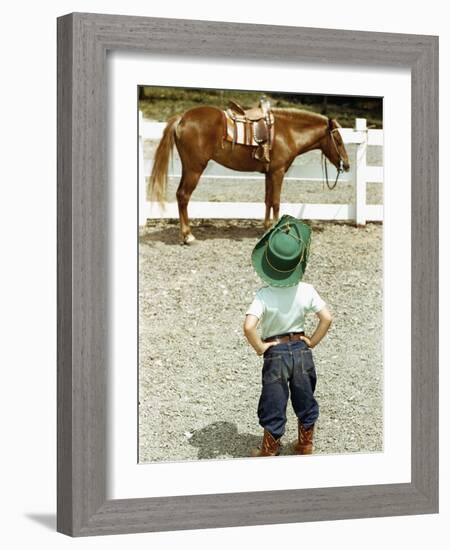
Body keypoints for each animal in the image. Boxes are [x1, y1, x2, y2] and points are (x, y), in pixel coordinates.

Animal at [149, 106, 350, 245]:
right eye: (338, 140)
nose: (347, 165)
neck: (287, 132)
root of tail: (182, 118)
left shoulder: (269, 174)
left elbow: (268, 201)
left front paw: (267, 228)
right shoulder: (278, 172)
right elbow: (276, 201)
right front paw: (278, 229)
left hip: (188, 169)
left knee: (179, 195)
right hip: (194, 169)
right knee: (184, 196)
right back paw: (188, 236)